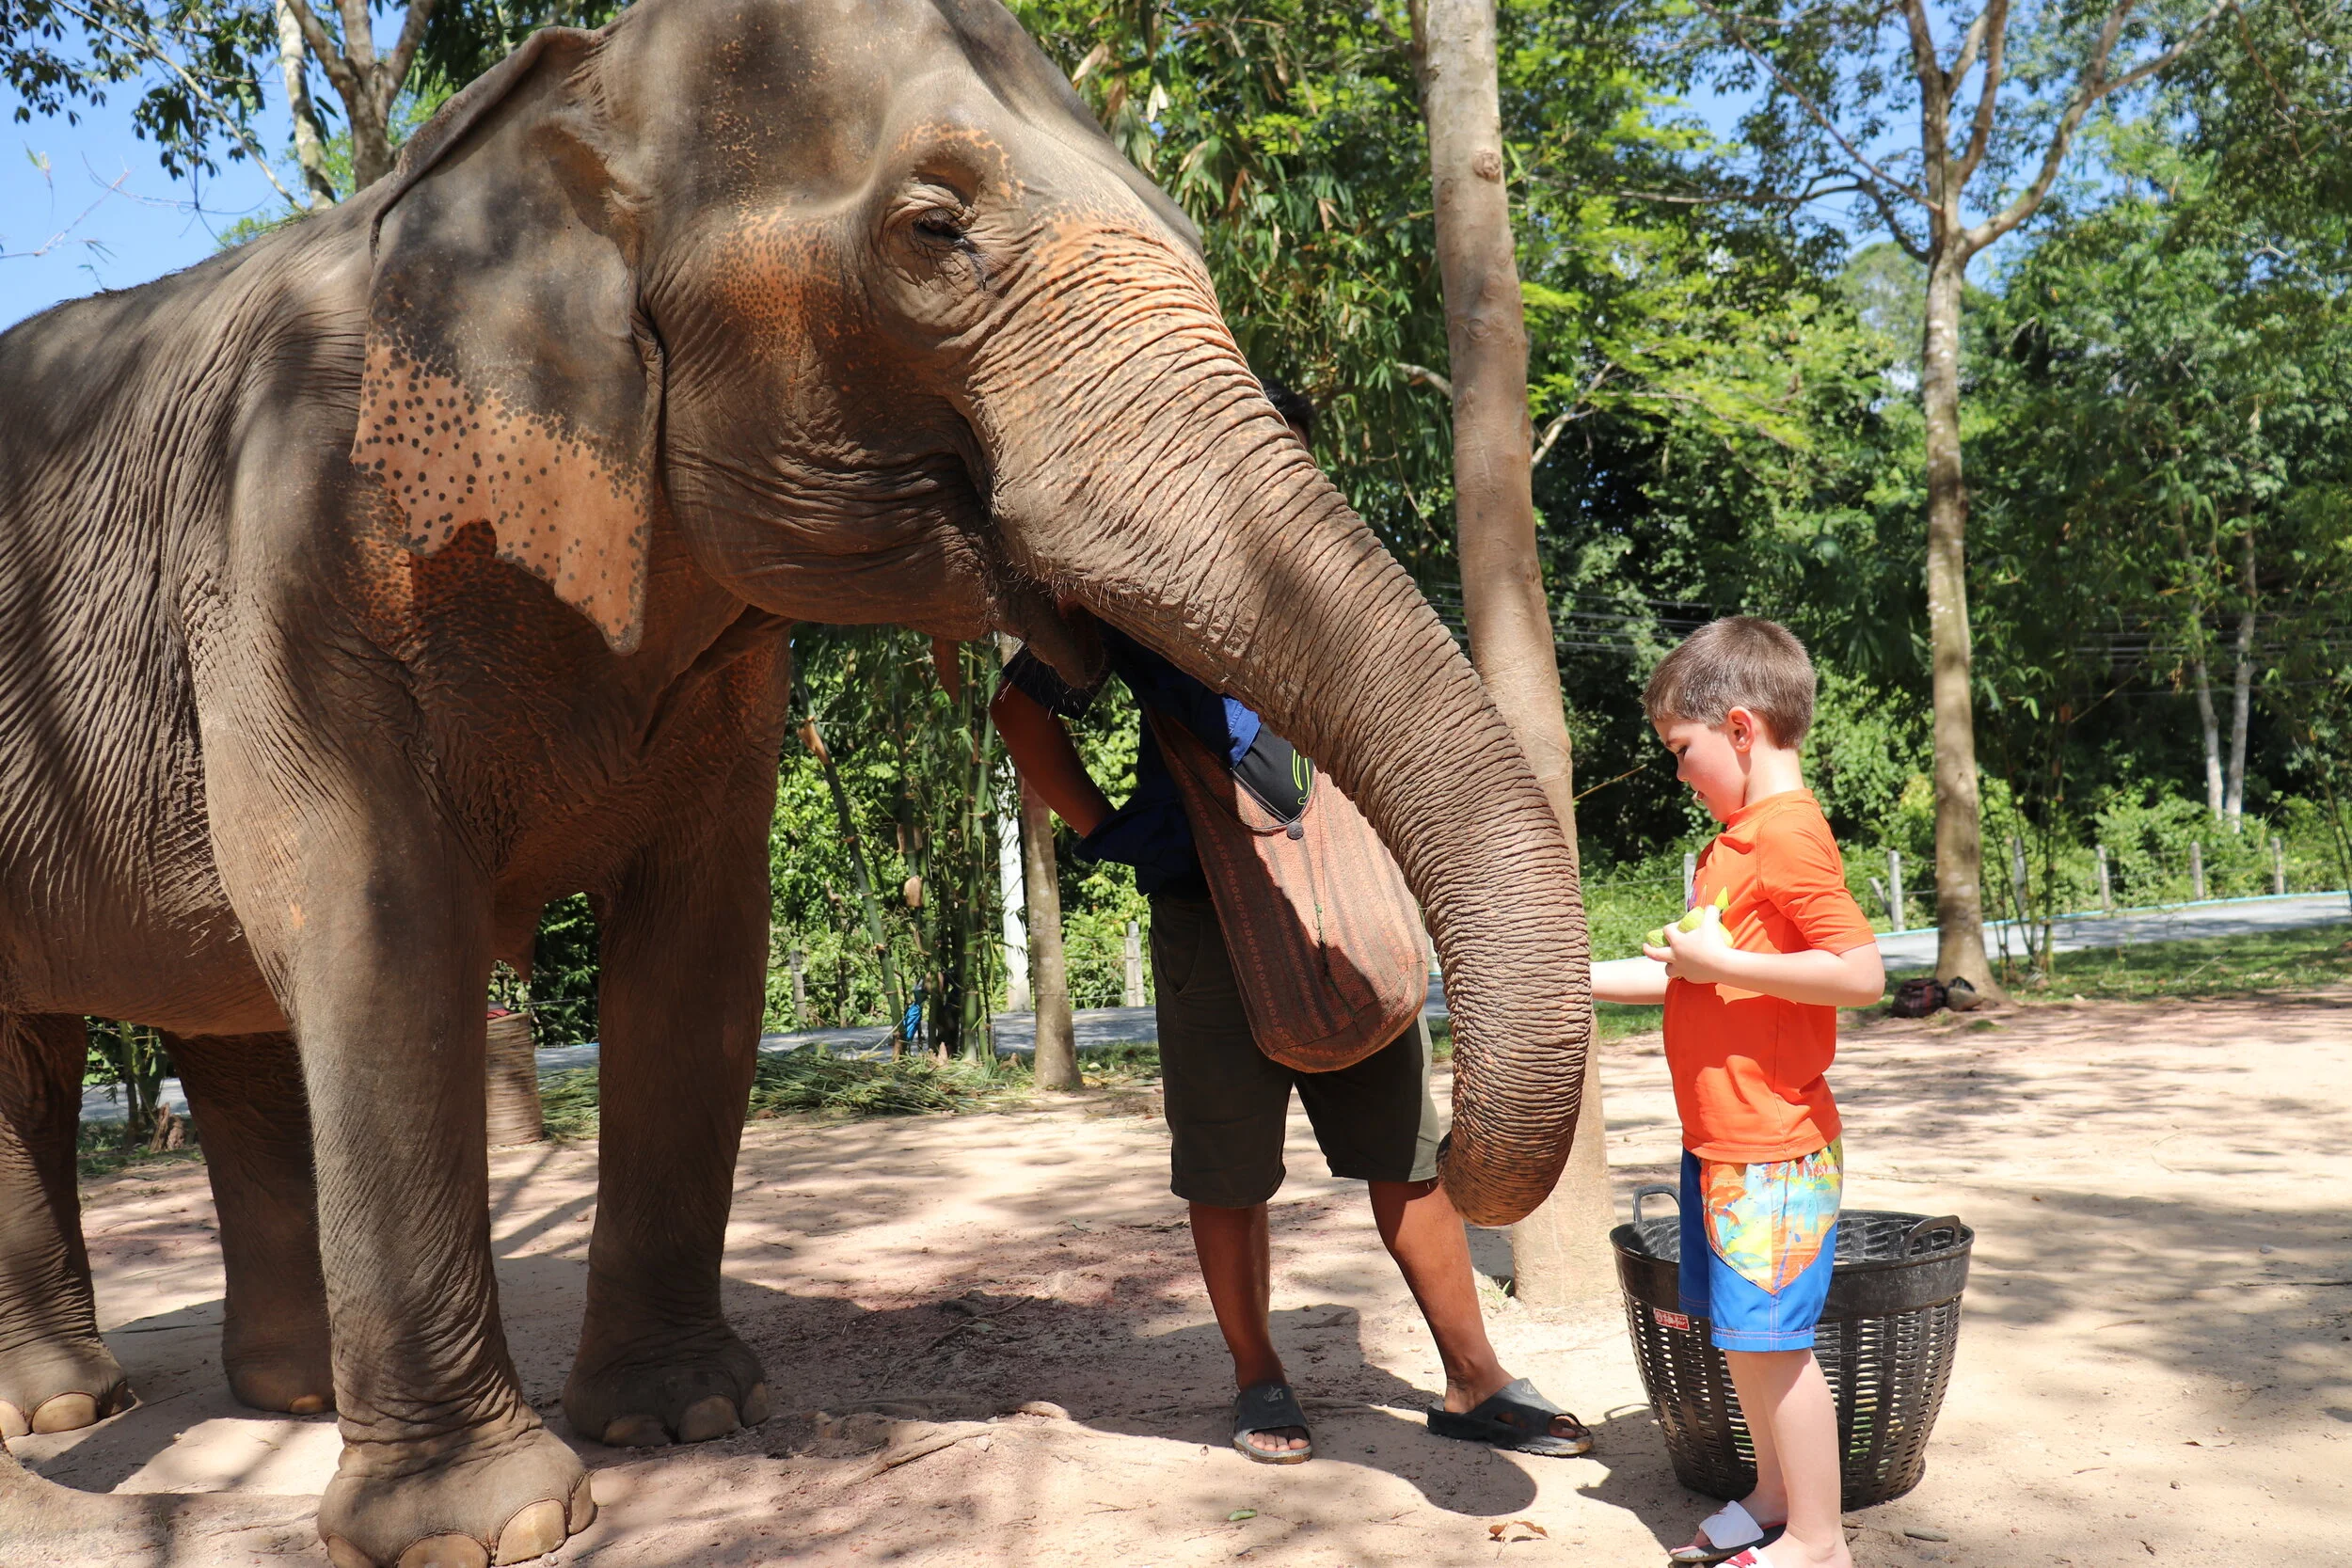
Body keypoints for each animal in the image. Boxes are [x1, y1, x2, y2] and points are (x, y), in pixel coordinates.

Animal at [0, 0, 1593, 1562]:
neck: (556, 106)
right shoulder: (290, 559)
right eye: (934, 230)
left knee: (224, 1024)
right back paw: (70, 1407)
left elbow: (701, 951)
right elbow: (375, 939)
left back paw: (293, 1388)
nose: (1453, 1139)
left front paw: (687, 1416)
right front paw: (492, 1523)